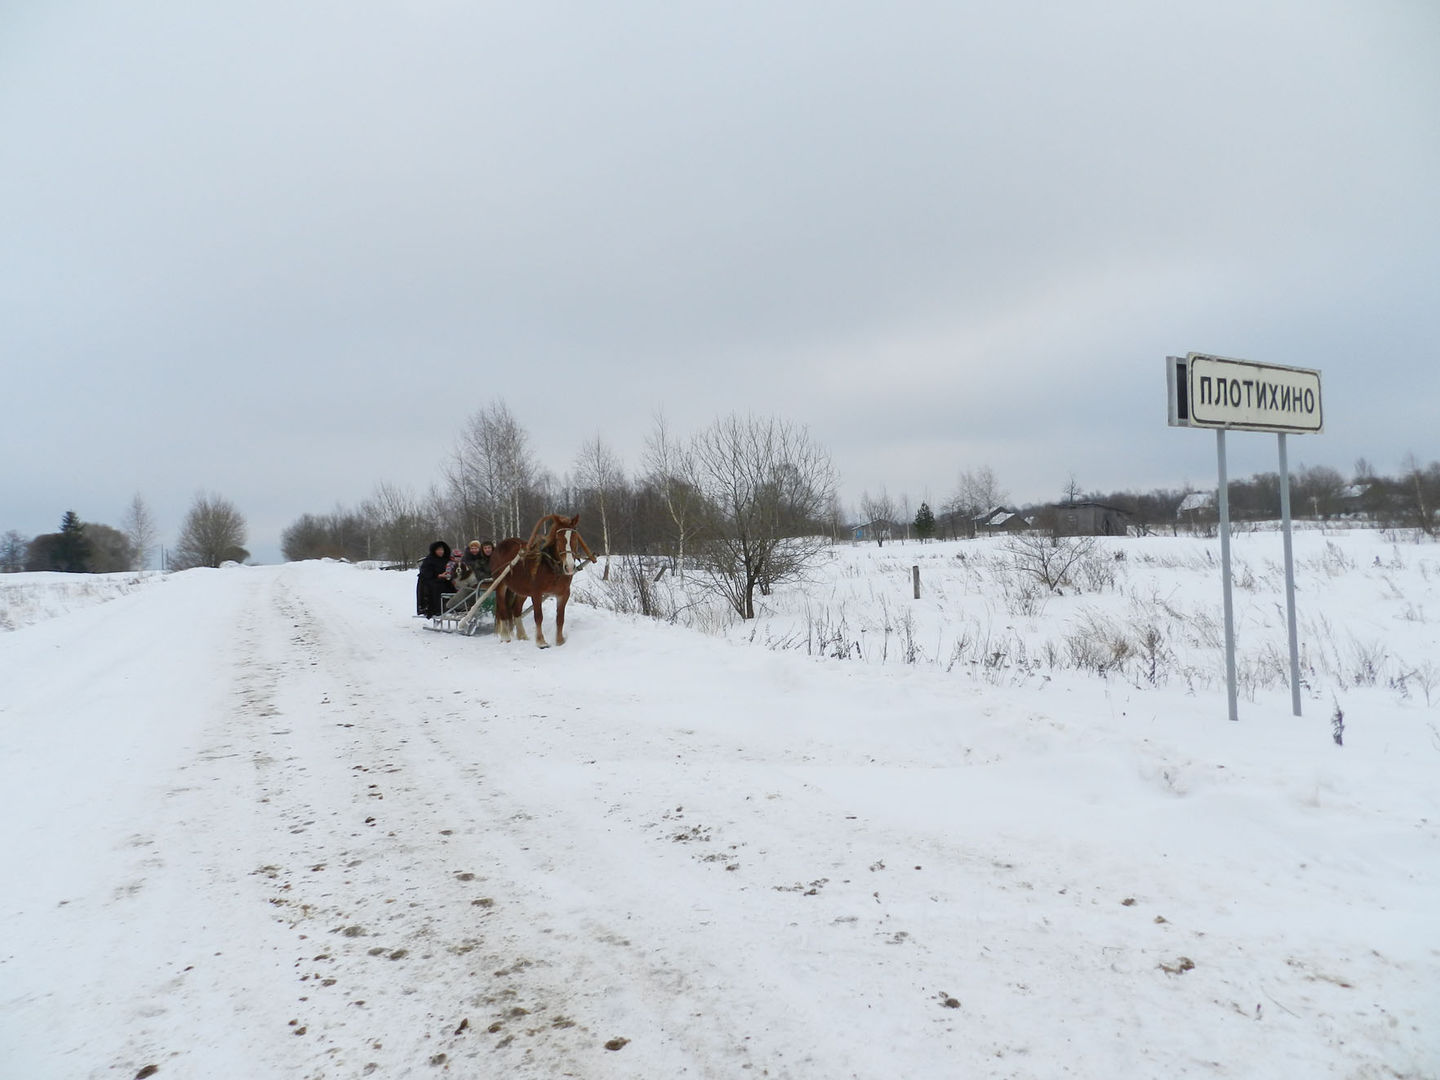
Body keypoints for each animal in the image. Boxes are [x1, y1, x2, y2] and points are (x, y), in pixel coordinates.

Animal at [489, 512, 590, 648]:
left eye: (574, 538)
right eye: (558, 539)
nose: (569, 567)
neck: (551, 566)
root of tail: (499, 546)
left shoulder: (563, 594)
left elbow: (560, 618)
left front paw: (559, 641)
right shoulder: (536, 593)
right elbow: (538, 617)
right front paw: (541, 642)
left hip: (522, 590)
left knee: (516, 610)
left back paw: (522, 636)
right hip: (500, 585)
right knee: (502, 609)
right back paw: (505, 636)